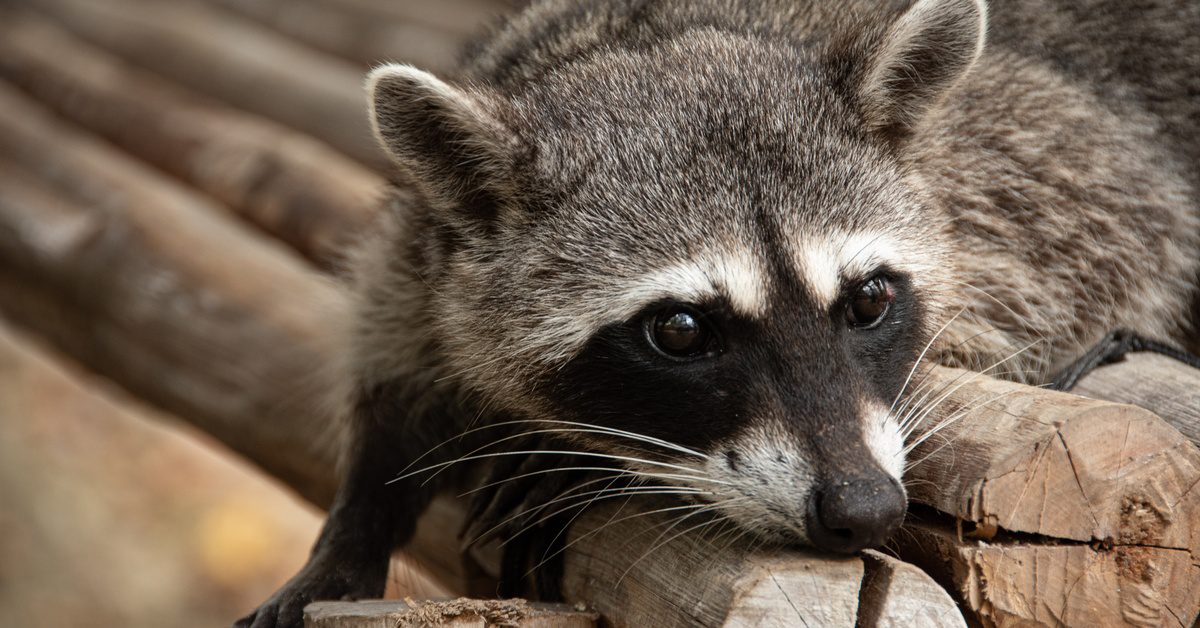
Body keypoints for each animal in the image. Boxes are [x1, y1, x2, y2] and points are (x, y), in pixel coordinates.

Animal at [237, 0, 1200, 625]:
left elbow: (1112, 250)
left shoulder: (1045, 159)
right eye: (681, 331)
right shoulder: (431, 245)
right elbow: (397, 358)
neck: (660, 39)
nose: (863, 509)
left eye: (869, 301)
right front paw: (354, 525)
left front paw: (561, 463)